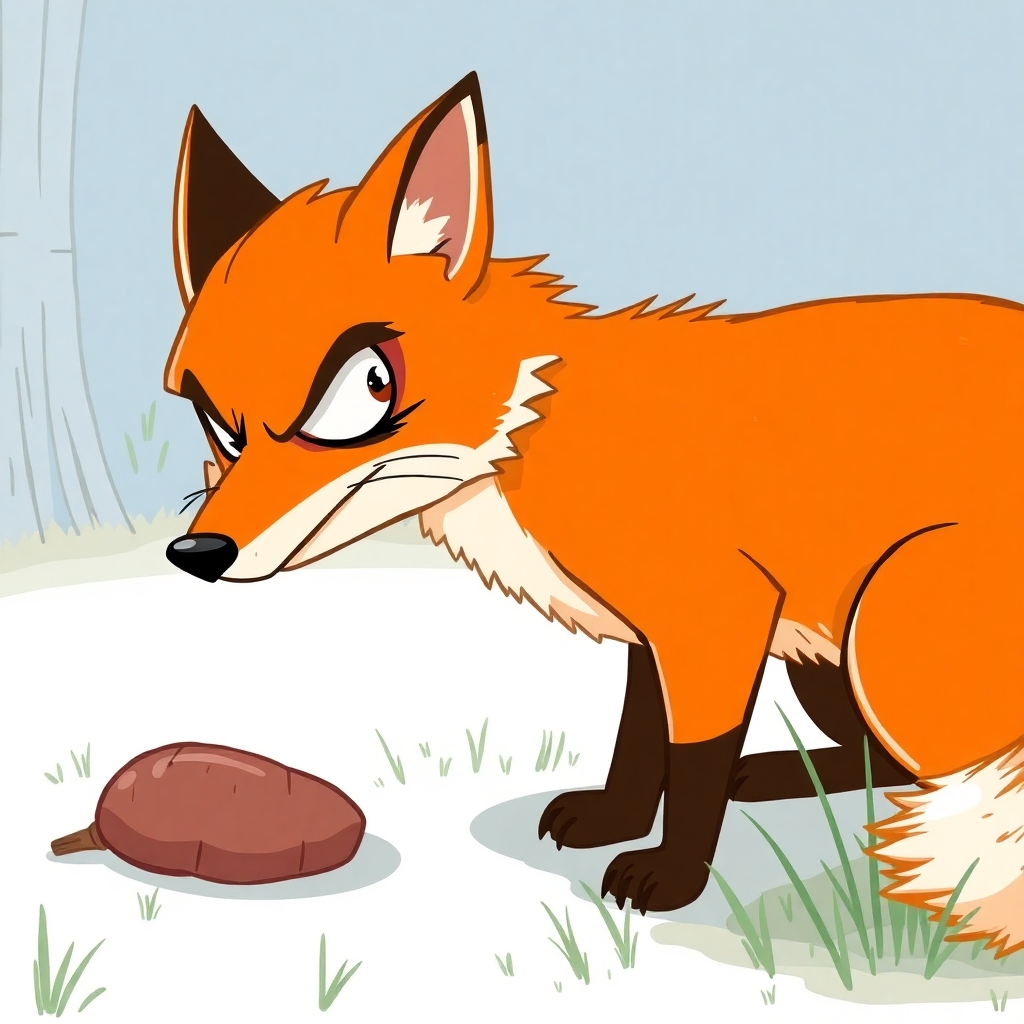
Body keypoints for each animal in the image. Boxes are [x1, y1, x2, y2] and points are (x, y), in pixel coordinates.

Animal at [163, 73, 1024, 957]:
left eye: (367, 388)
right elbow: (641, 738)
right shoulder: (660, 628)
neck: (540, 430)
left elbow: (694, 758)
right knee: (894, 768)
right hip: (826, 660)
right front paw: (615, 818)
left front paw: (673, 875)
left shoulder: (718, 616)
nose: (198, 552)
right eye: (218, 425)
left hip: (882, 634)